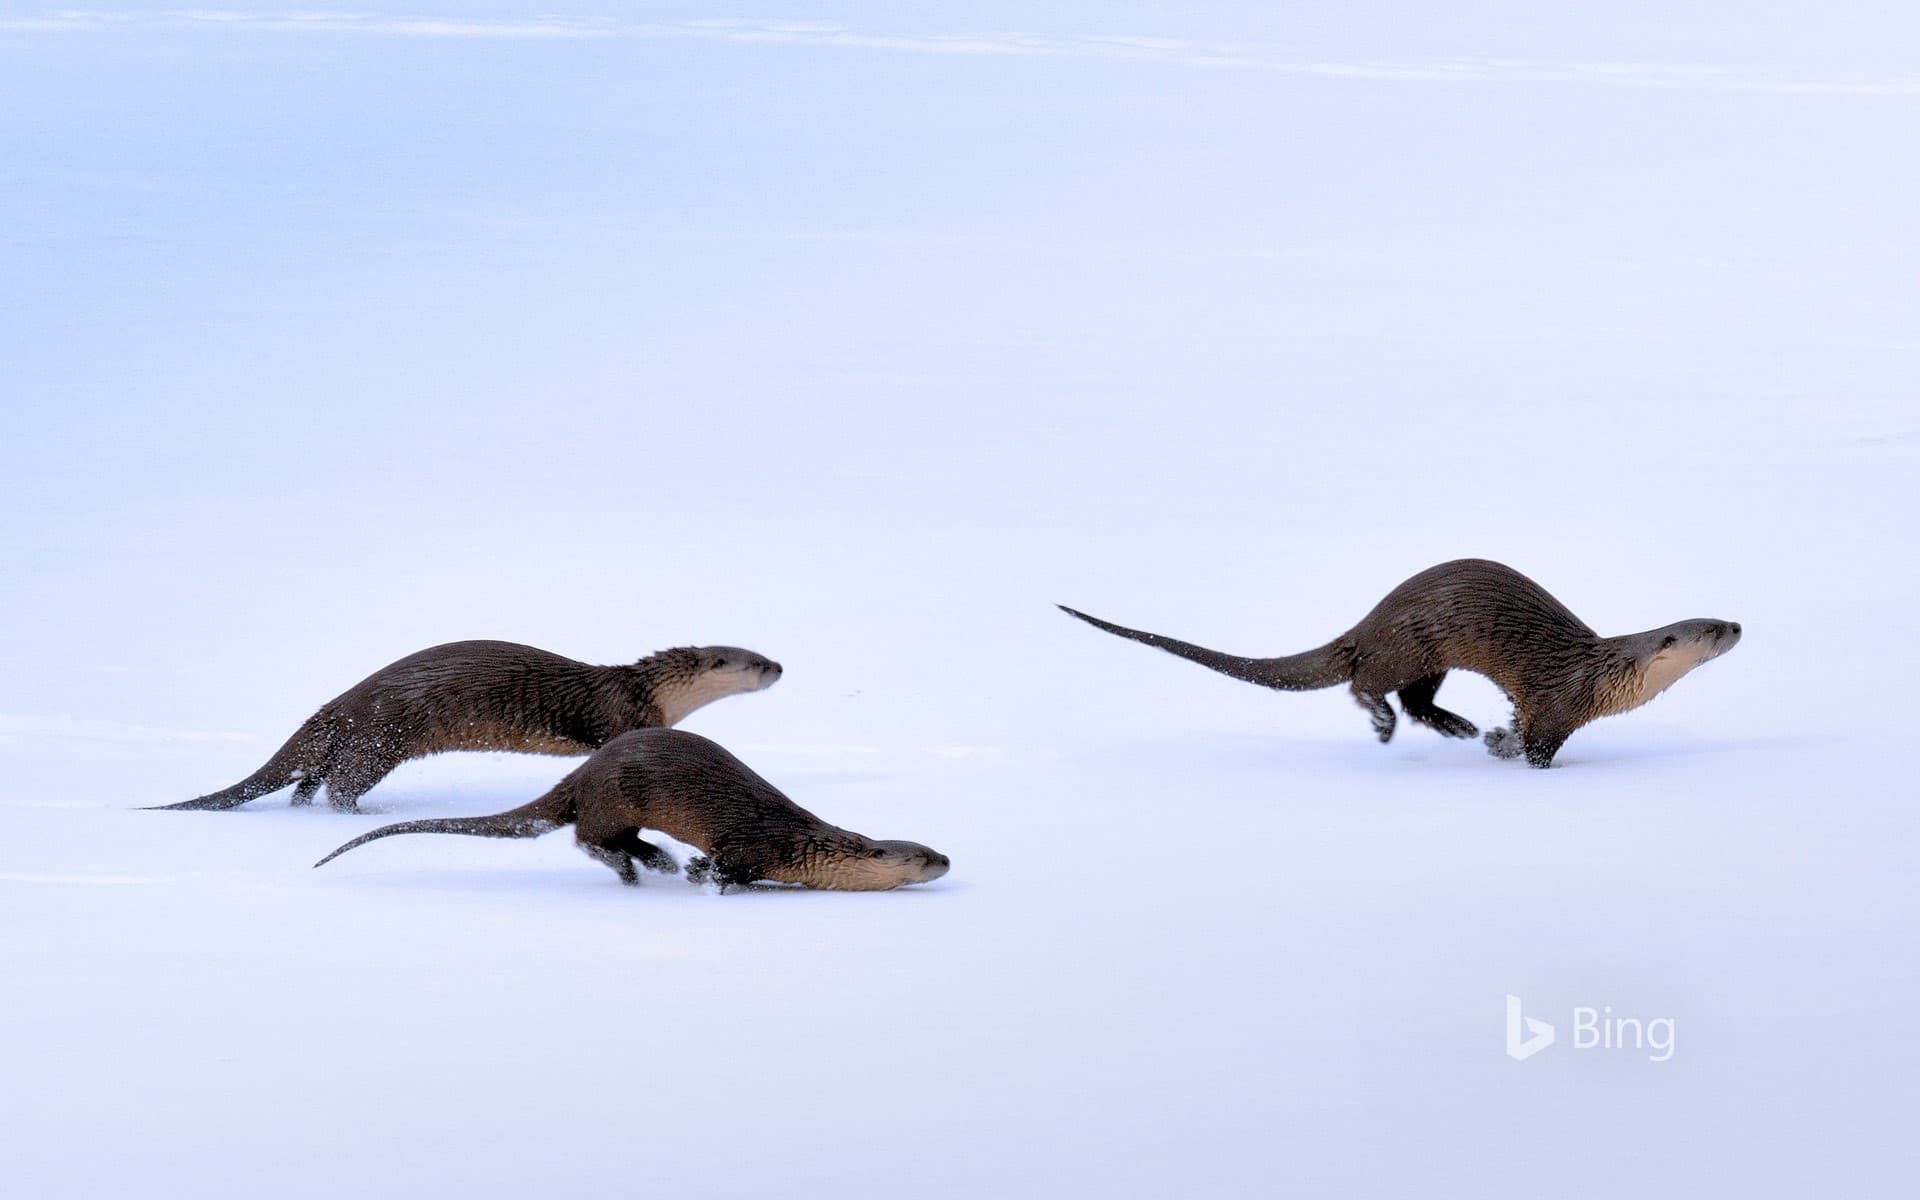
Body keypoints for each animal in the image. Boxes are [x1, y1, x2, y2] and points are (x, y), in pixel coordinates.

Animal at [150, 640, 782, 811]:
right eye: (754, 662)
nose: (780, 667)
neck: (648, 690)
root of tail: (341, 701)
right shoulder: (622, 717)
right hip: (380, 737)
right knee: (340, 785)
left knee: (310, 782)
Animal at [313, 728, 950, 891]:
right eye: (921, 855)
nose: (948, 860)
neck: (802, 846)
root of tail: (583, 773)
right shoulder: (754, 847)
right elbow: (729, 869)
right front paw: (701, 875)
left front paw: (690, 870)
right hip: (612, 797)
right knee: (589, 839)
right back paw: (646, 870)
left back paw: (656, 862)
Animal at [1061, 558, 1740, 767]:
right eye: (1709, 630)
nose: (1739, 625)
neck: (1605, 677)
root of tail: (1368, 621)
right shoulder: (1556, 706)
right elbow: (1534, 746)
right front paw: (1505, 751)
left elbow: (1515, 728)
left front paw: (1491, 739)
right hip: (1406, 646)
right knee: (1366, 684)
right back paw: (1386, 725)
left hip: (1425, 659)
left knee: (1416, 700)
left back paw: (1458, 727)